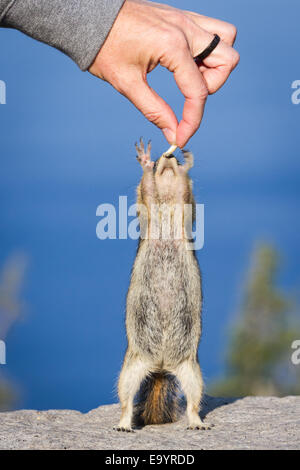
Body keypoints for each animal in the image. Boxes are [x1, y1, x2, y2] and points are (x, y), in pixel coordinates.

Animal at [115, 140, 211, 434]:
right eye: (160, 161)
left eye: (173, 160)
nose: (169, 158)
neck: (167, 204)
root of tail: (160, 365)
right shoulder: (147, 204)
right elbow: (146, 189)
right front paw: (145, 162)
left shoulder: (185, 205)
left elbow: (186, 194)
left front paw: (187, 163)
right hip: (131, 367)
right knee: (126, 399)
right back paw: (123, 424)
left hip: (192, 370)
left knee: (193, 401)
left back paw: (197, 423)